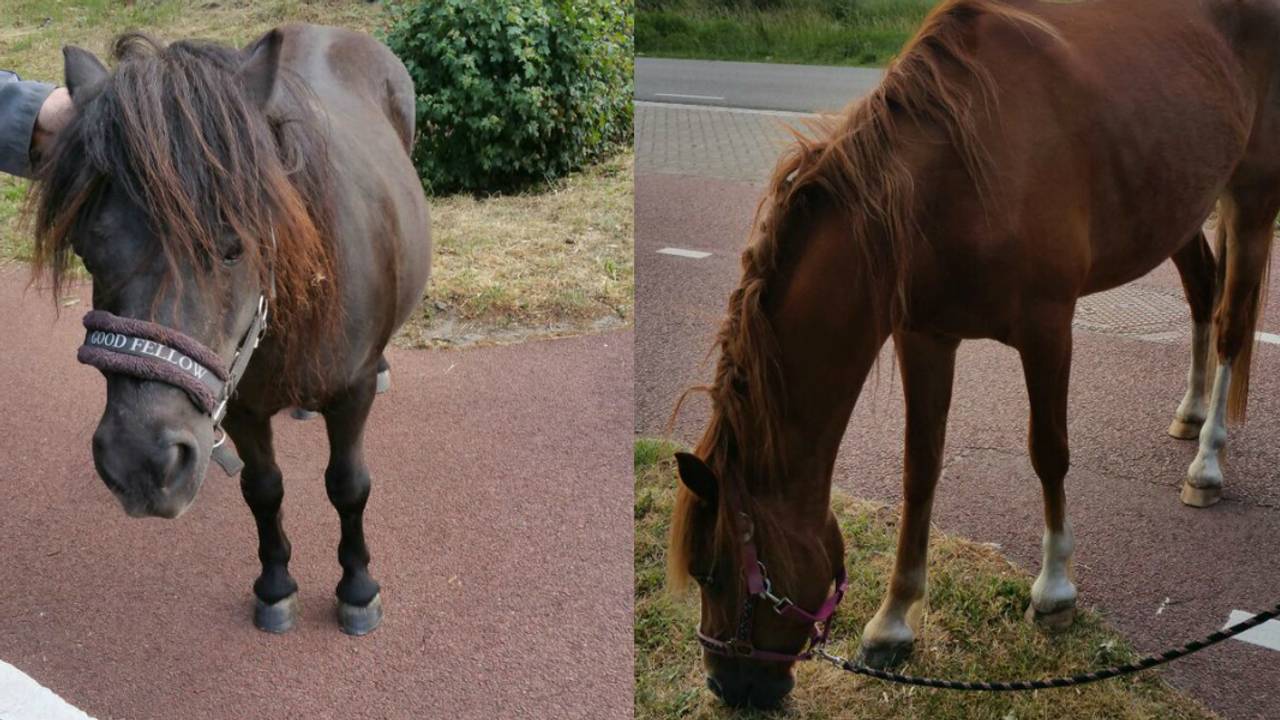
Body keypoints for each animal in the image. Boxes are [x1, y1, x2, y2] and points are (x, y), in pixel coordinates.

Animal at [30, 25, 431, 636]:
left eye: (232, 246)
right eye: (85, 250)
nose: (140, 465)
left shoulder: (351, 392)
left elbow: (348, 485)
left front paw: (358, 588)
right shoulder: (237, 402)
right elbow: (262, 489)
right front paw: (276, 585)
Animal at [667, 0, 1280, 708]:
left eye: (714, 572)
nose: (727, 685)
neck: (951, 177)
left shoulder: (1049, 329)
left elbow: (1049, 452)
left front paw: (1054, 590)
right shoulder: (925, 338)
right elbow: (920, 470)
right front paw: (893, 621)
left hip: (1252, 196)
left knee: (1232, 324)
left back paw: (1207, 462)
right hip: (1181, 206)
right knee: (1203, 296)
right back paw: (1189, 412)